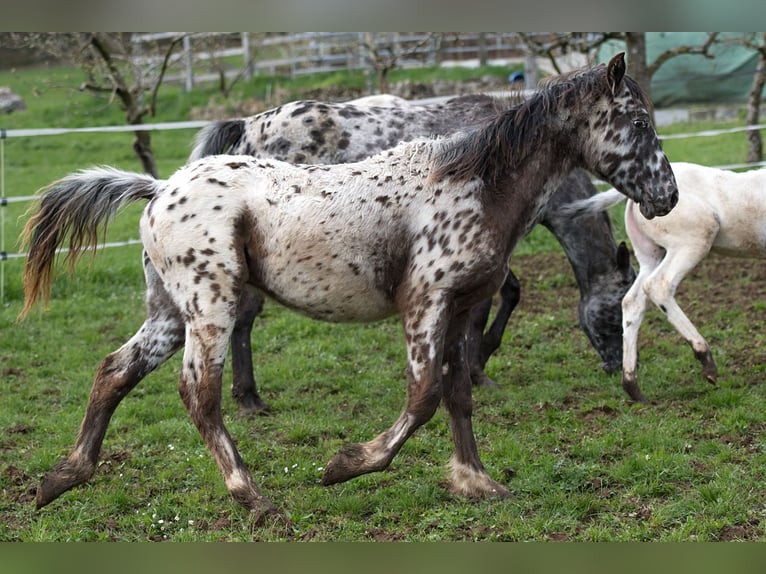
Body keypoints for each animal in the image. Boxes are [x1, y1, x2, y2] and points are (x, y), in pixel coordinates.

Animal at [190, 91, 636, 414]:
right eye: (616, 315)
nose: (617, 367)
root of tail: (248, 126)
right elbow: (490, 304)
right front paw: (478, 366)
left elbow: (506, 294)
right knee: (244, 318)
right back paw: (249, 399)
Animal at [564, 162, 766, 404]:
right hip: (692, 241)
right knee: (659, 286)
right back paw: (705, 359)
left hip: (650, 254)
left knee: (632, 301)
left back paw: (633, 387)